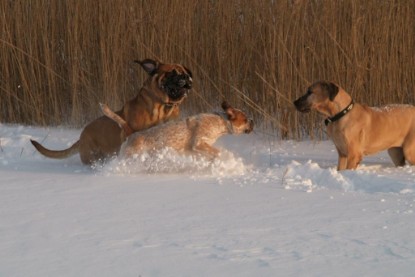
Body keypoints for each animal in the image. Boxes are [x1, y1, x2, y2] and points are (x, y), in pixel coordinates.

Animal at [30, 57, 193, 163]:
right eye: (172, 72)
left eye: (185, 73)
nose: (186, 78)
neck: (163, 107)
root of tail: (82, 135)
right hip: (93, 156)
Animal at [100, 101, 254, 158]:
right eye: (245, 119)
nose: (253, 121)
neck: (220, 121)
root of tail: (131, 134)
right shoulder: (198, 143)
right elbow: (216, 152)